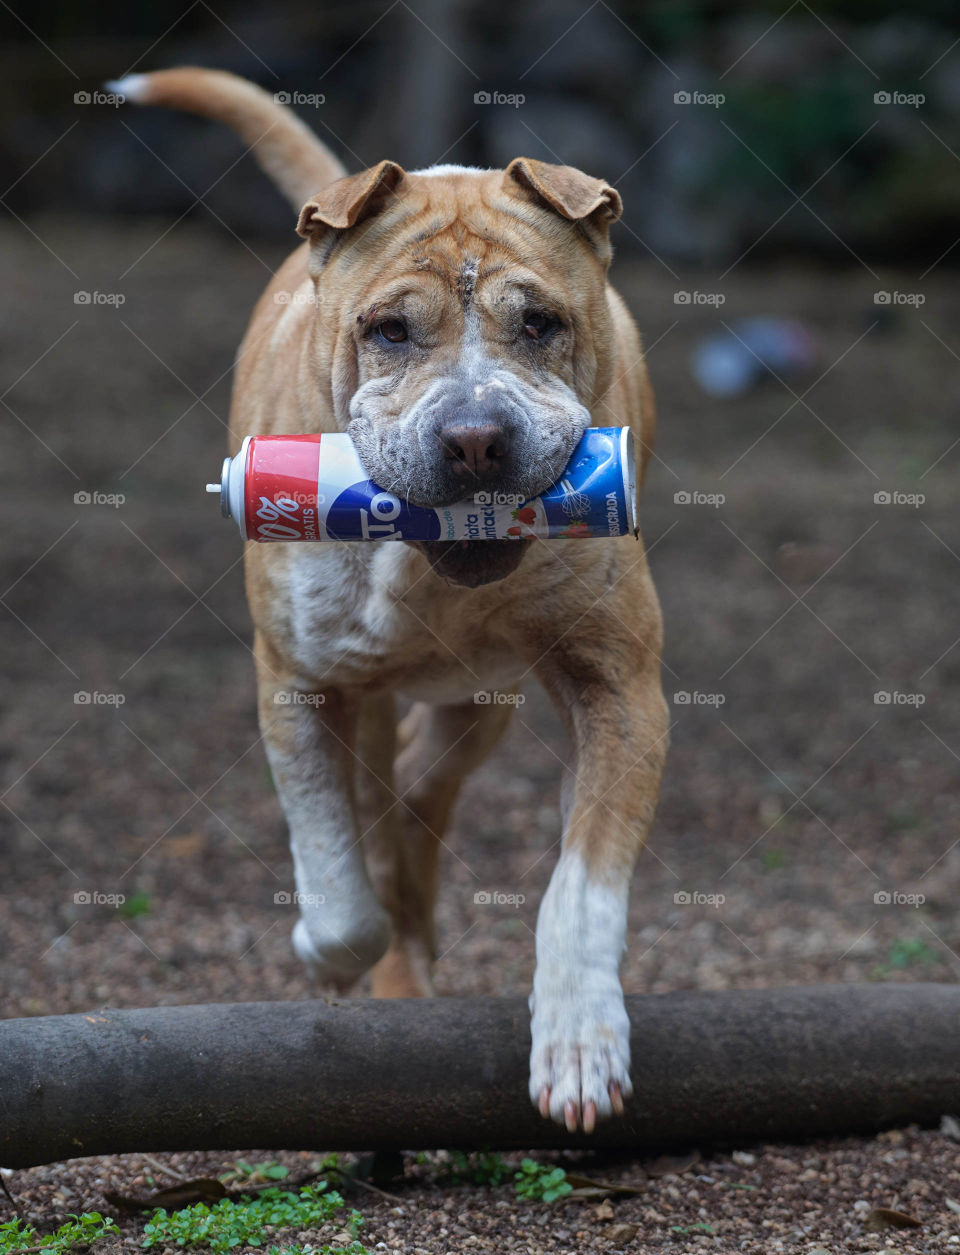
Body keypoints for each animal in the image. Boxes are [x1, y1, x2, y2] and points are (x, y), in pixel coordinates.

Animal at [114, 63, 667, 1134]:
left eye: (541, 323)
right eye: (388, 331)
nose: (477, 437)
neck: (424, 567)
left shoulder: (620, 689)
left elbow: (581, 885)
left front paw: (579, 1041)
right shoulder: (300, 681)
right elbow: (337, 879)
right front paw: (326, 953)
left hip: (476, 710)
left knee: (417, 797)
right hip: (376, 700)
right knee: (382, 812)